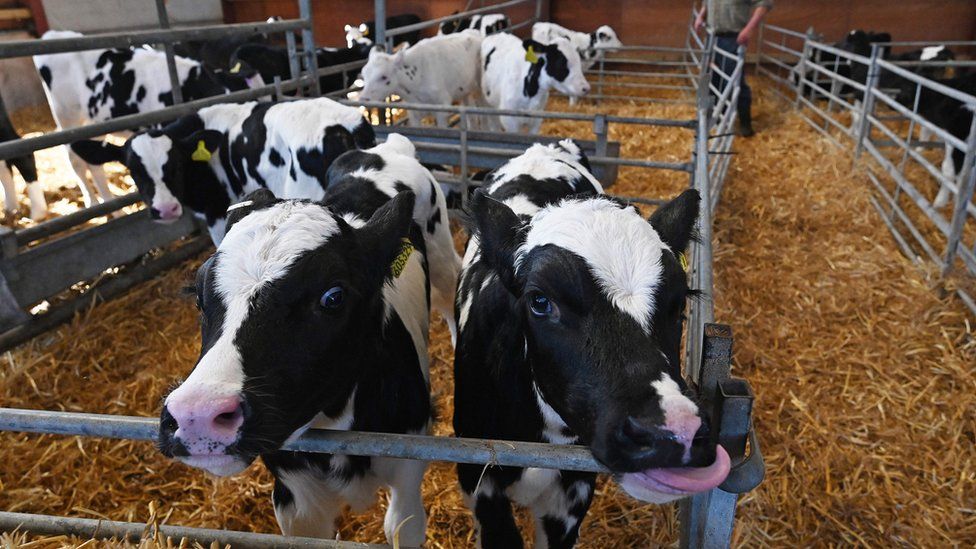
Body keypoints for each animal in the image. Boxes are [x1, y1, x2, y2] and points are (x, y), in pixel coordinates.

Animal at [34, 28, 264, 212]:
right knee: (76, 160)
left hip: (95, 122)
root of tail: (54, 35)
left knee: (93, 162)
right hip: (67, 116)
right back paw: (94, 203)